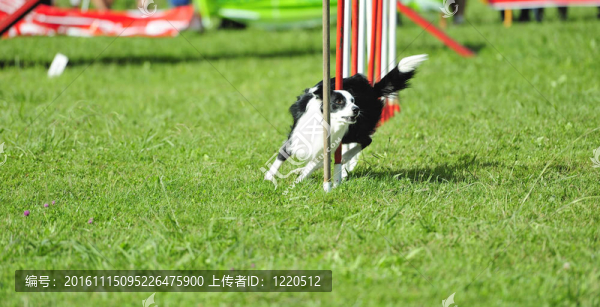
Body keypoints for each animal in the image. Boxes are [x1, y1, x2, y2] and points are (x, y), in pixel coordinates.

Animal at [264, 54, 426, 186]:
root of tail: (373, 90)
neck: (325, 122)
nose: (356, 109)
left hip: (354, 131)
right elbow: (281, 157)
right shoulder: (295, 137)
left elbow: (312, 166)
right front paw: (268, 178)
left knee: (366, 140)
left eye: (353, 100)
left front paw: (296, 183)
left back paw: (344, 157)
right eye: (339, 101)